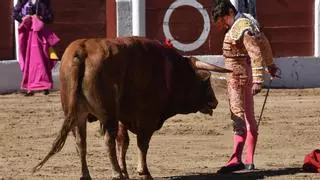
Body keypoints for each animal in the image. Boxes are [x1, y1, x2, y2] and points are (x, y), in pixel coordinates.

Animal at [33, 36, 230, 179]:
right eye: (205, 81)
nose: (215, 101)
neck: (171, 72)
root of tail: (83, 49)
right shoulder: (147, 118)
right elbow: (142, 143)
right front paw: (143, 172)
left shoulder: (124, 116)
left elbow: (124, 142)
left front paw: (127, 171)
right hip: (108, 115)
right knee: (107, 140)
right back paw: (116, 174)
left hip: (76, 113)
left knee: (81, 141)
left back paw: (86, 175)